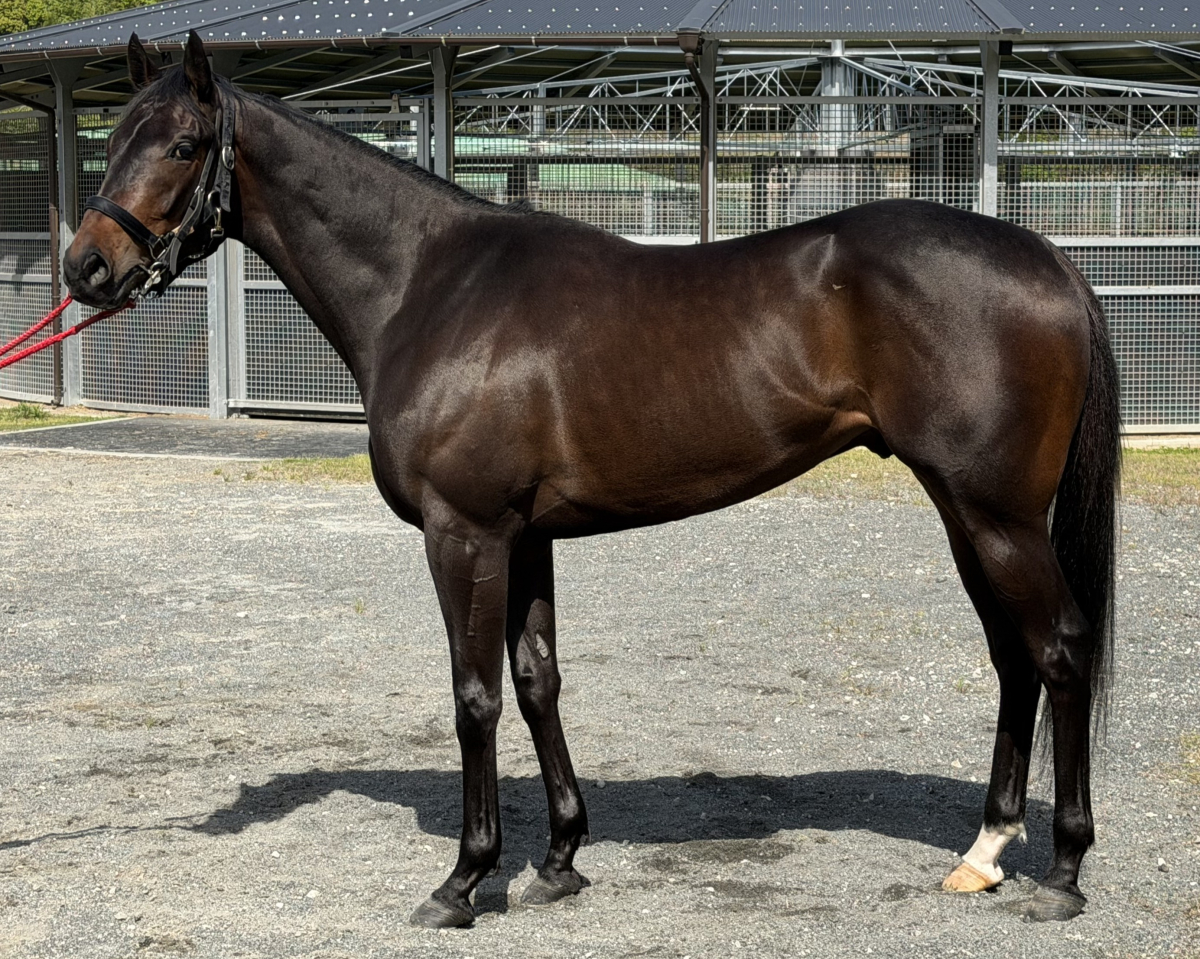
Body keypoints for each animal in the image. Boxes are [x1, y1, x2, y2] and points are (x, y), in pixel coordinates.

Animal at [62, 31, 1121, 928]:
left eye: (185, 144)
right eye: (114, 141)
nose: (87, 267)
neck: (430, 287)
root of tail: (1051, 262)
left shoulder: (466, 531)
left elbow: (475, 696)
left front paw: (464, 878)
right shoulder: (526, 534)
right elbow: (539, 681)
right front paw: (560, 857)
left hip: (998, 515)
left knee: (1061, 649)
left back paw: (1063, 871)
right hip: (964, 511)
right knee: (1014, 657)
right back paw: (984, 852)